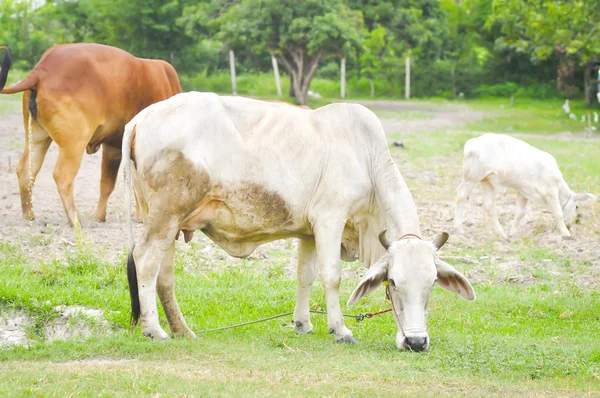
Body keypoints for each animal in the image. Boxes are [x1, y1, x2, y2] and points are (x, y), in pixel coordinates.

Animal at [0, 43, 182, 227]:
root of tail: (42, 70)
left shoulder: (115, 146)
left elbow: (109, 184)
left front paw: (101, 216)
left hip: (38, 138)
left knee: (26, 171)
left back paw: (29, 214)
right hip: (74, 144)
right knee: (62, 176)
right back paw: (74, 218)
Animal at [454, 134, 596, 239]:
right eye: (576, 206)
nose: (570, 225)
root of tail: (472, 141)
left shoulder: (523, 191)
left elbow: (519, 213)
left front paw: (512, 233)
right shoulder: (550, 191)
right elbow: (558, 212)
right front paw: (566, 234)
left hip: (486, 180)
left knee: (489, 205)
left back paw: (502, 234)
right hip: (471, 177)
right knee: (461, 197)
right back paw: (459, 230)